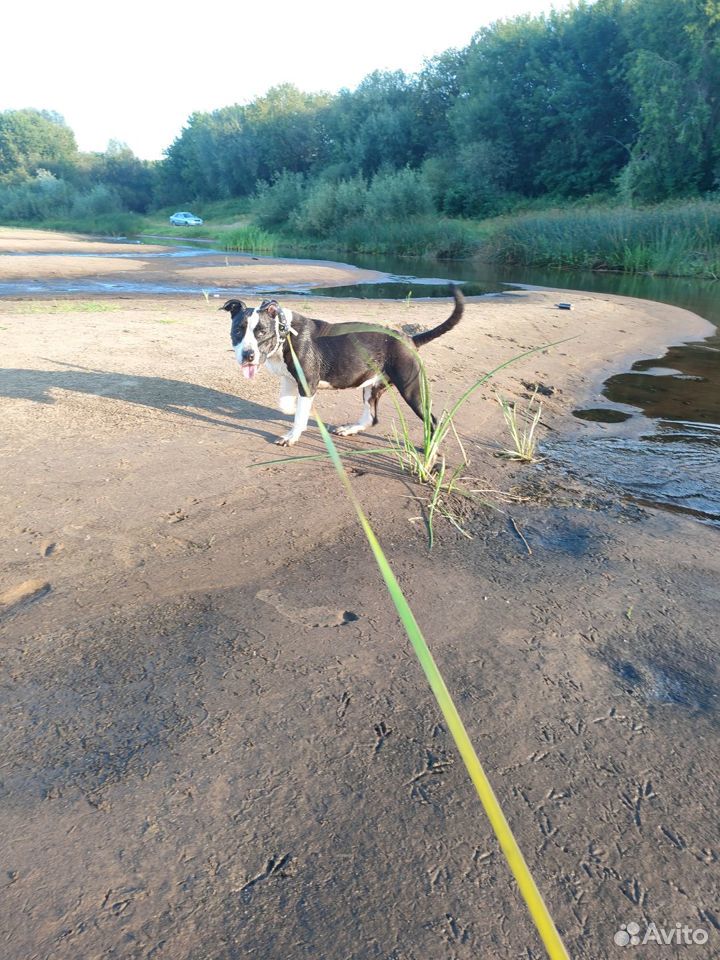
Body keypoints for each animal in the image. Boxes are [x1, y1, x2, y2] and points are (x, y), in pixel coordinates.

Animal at [222, 284, 464, 446]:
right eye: (237, 331)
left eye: (261, 332)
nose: (248, 355)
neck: (285, 334)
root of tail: (409, 338)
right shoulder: (290, 380)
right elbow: (287, 405)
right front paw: (293, 412)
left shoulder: (307, 383)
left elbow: (299, 414)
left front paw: (292, 435)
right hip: (372, 386)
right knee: (371, 416)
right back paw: (351, 429)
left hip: (412, 389)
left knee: (432, 420)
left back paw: (429, 450)